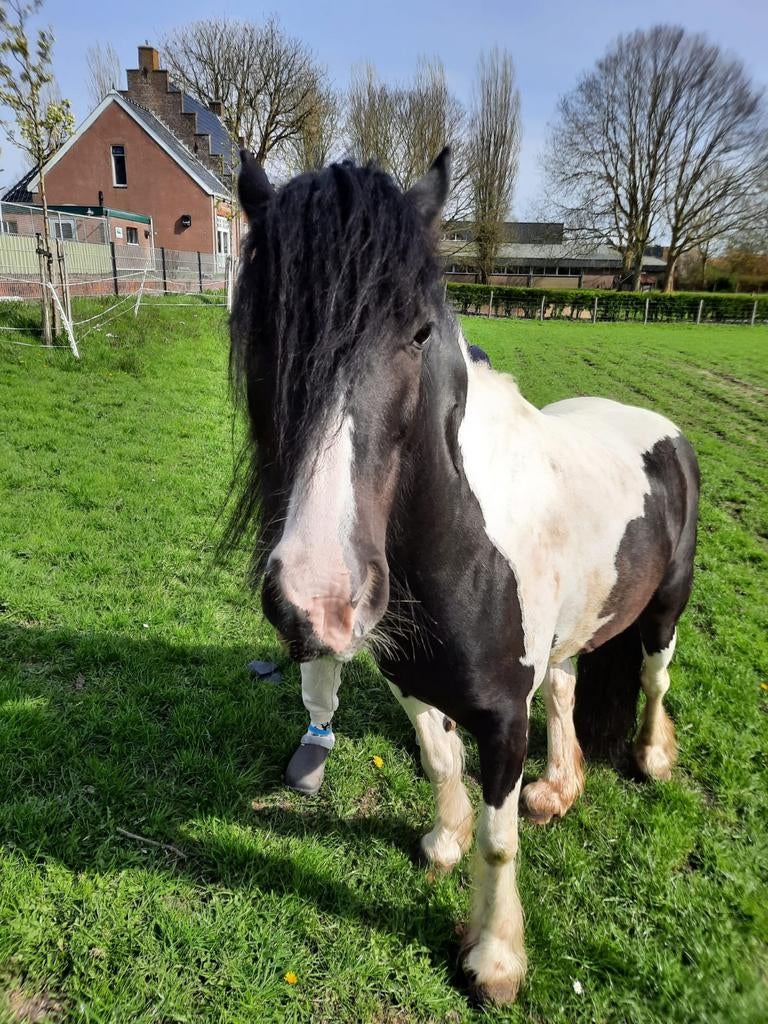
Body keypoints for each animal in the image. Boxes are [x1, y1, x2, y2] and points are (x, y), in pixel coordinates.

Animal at [226, 148, 700, 1004]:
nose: (319, 598)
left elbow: (499, 838)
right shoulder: (409, 679)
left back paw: (650, 759)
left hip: (664, 613)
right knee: (568, 688)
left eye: (418, 332)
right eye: (259, 328)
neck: (460, 544)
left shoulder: (504, 720)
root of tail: (662, 429)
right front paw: (441, 842)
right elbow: (442, 760)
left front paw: (494, 960)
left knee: (653, 681)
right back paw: (560, 787)